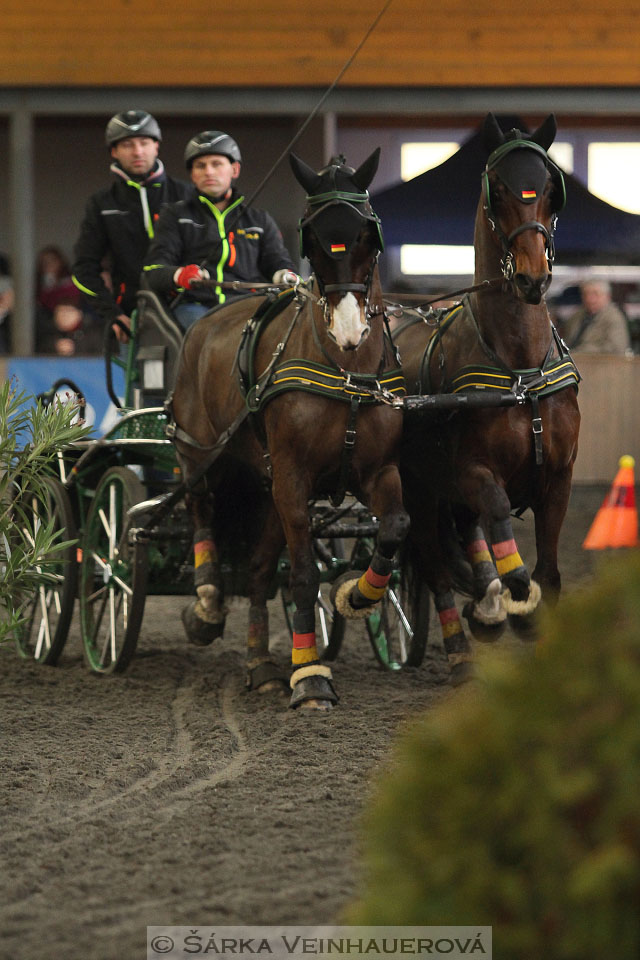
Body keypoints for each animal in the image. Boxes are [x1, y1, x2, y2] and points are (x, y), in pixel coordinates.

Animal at [170, 148, 410, 704]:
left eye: (368, 233)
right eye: (312, 236)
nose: (349, 330)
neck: (347, 370)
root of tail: (208, 319)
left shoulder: (379, 471)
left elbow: (393, 528)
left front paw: (357, 596)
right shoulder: (294, 478)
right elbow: (301, 575)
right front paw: (311, 675)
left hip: (264, 484)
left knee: (259, 571)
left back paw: (261, 665)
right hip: (202, 454)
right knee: (201, 509)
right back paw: (207, 602)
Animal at [396, 112, 580, 664]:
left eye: (550, 189)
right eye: (497, 191)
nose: (532, 278)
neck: (519, 370)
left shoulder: (559, 477)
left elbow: (550, 573)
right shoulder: (471, 472)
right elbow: (500, 516)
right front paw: (508, 599)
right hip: (418, 491)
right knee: (434, 566)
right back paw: (463, 641)